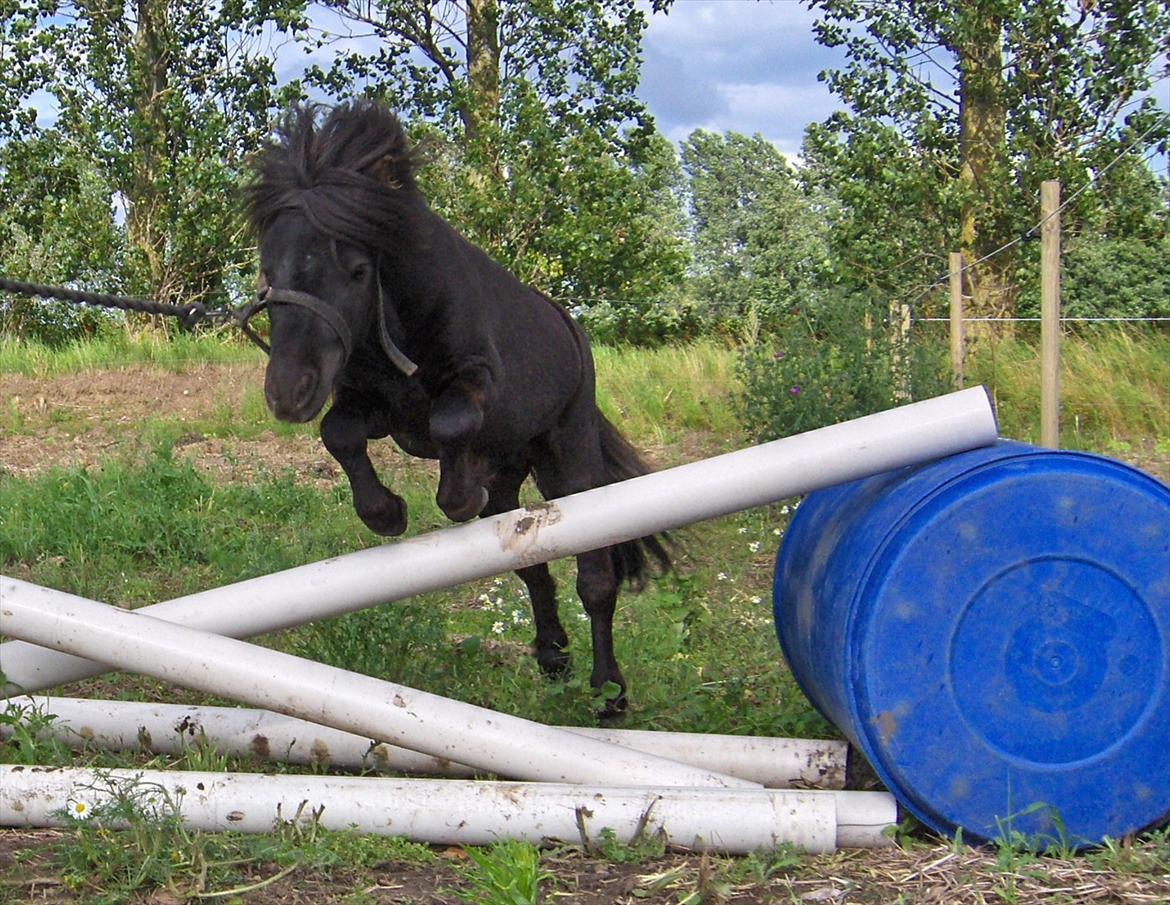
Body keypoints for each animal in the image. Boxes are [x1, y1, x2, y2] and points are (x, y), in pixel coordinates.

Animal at [244, 101, 669, 715]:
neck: (394, 319)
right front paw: (386, 513)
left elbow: (452, 421)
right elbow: (338, 432)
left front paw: (457, 496)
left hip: (570, 461)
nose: (287, 393)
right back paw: (552, 658)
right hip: (513, 479)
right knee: (531, 564)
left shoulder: (472, 383)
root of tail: (570, 327)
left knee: (595, 579)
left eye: (357, 270)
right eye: (268, 272)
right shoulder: (380, 410)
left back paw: (608, 692)